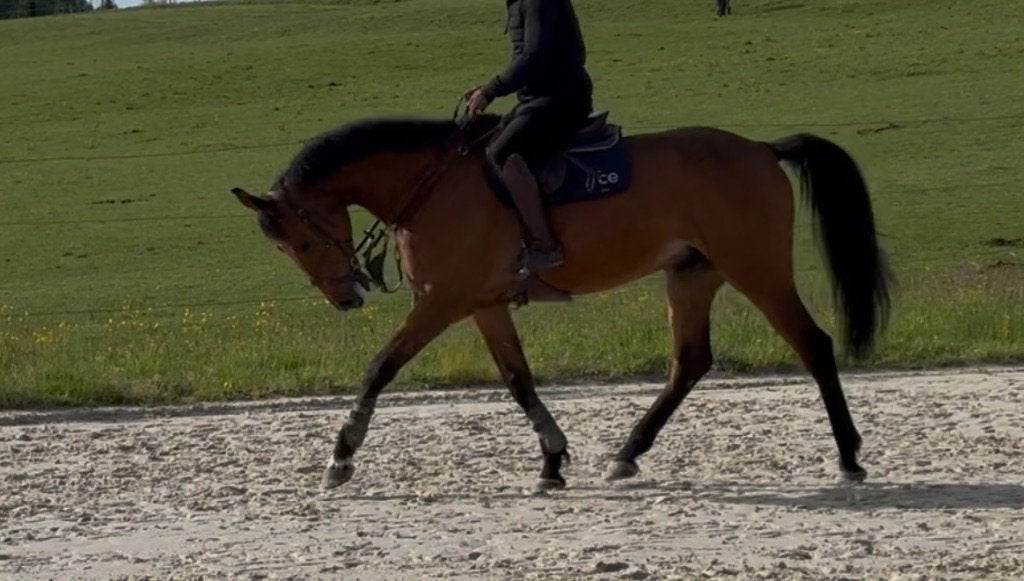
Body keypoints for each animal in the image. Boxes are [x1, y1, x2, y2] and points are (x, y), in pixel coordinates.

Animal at [231, 112, 891, 492]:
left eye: (302, 239)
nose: (346, 297)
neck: (431, 183)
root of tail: (758, 147)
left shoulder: (440, 303)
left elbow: (379, 368)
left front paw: (341, 457)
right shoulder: (485, 305)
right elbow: (518, 381)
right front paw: (551, 460)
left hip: (756, 268)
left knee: (812, 344)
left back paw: (848, 457)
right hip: (691, 276)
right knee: (690, 363)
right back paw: (627, 453)